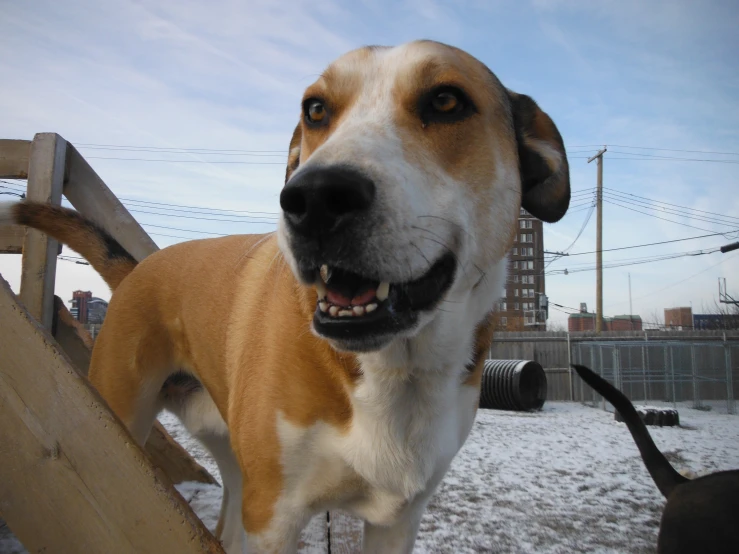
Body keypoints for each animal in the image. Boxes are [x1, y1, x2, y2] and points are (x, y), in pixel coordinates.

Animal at [0, 40, 572, 552]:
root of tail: (139, 267)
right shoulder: (273, 517)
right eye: (316, 109)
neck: (393, 370)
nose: (314, 197)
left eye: (447, 101)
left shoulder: (397, 521)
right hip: (121, 418)